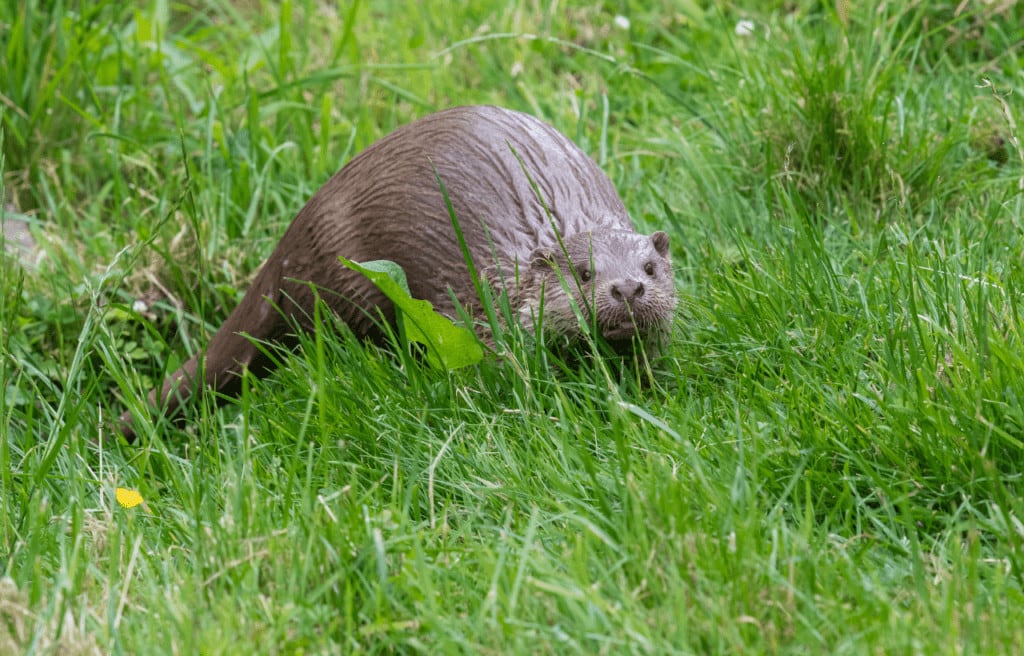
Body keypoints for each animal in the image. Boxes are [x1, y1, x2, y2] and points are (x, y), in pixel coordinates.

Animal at [119, 105, 675, 441]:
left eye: (649, 267)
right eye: (583, 273)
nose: (627, 288)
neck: (506, 293)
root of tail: (298, 233)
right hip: (350, 280)